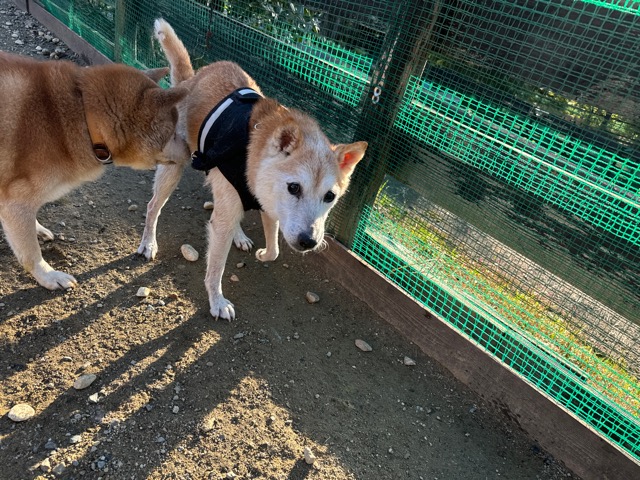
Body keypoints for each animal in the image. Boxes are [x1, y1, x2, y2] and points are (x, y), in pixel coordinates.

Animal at [0, 51, 188, 290]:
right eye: (173, 133)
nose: (191, 150)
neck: (84, 116)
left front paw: (36, 229)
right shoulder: (15, 201)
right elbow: (31, 253)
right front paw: (49, 277)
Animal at [139, 19, 368, 320]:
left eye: (330, 197)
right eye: (294, 187)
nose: (308, 241)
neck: (253, 158)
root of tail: (193, 78)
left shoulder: (269, 206)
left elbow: (274, 250)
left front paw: (261, 254)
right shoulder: (235, 212)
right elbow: (215, 269)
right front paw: (217, 302)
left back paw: (239, 235)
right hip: (174, 169)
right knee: (153, 206)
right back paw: (148, 243)